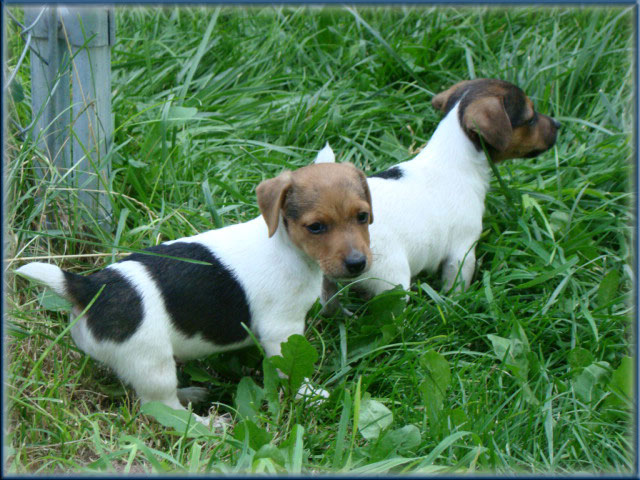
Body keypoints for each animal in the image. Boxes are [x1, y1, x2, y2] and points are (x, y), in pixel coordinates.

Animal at [16, 158, 376, 428]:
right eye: (316, 227)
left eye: (362, 216)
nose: (358, 264)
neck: (287, 247)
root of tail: (93, 287)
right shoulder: (282, 331)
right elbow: (288, 368)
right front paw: (310, 394)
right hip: (152, 362)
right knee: (161, 407)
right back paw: (206, 424)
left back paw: (191, 394)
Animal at [322, 76, 556, 308]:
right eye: (530, 119)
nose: (559, 125)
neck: (453, 156)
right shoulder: (462, 251)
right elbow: (456, 283)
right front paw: (456, 303)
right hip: (392, 278)